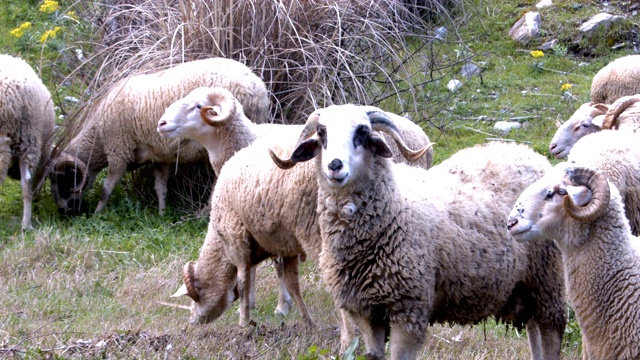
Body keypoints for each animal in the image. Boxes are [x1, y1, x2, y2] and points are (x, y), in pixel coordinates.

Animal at [50, 56, 268, 215]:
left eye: (63, 179)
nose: (64, 213)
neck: (97, 137)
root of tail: (257, 89)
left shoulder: (118, 149)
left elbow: (107, 188)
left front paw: (97, 214)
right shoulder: (159, 155)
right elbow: (160, 187)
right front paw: (162, 213)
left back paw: (204, 212)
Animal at [162, 90, 436, 344]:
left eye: (199, 106)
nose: (161, 123)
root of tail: (421, 134)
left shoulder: (241, 231)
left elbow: (247, 276)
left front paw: (253, 318)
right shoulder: (278, 234)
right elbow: (280, 275)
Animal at [268, 102, 564, 358]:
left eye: (362, 132)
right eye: (322, 132)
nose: (334, 166)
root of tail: (526, 152)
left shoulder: (409, 310)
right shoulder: (365, 313)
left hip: (548, 278)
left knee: (551, 333)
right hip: (527, 286)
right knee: (534, 331)